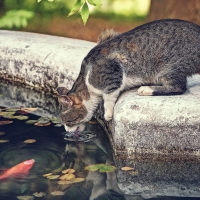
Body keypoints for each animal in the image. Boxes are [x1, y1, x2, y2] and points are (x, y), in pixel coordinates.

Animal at [56, 19, 200, 134]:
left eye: (68, 121)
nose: (67, 131)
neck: (86, 81)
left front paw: (107, 113)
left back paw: (147, 89)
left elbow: (109, 96)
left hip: (168, 66)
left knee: (178, 87)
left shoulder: (114, 71)